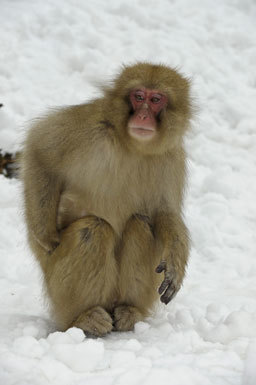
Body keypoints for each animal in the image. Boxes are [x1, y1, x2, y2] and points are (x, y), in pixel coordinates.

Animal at [21, 63, 192, 336]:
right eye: (138, 96)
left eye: (156, 100)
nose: (143, 115)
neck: (132, 145)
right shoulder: (90, 127)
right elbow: (40, 149)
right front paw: (45, 235)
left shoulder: (173, 156)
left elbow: (164, 212)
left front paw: (176, 258)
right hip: (56, 290)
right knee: (93, 229)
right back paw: (84, 317)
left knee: (141, 224)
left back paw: (128, 311)